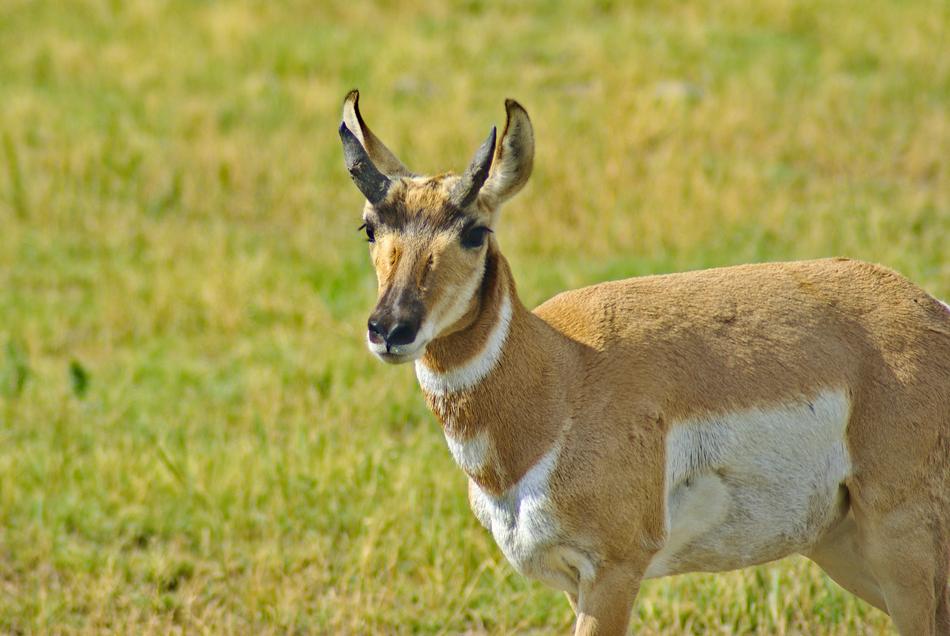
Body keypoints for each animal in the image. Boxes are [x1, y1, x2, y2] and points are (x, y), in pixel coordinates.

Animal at [338, 90, 950, 635]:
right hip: (844, 549)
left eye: (475, 230)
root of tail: (930, 313)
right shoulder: (572, 582)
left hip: (900, 547)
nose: (390, 329)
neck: (561, 374)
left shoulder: (613, 570)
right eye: (370, 226)